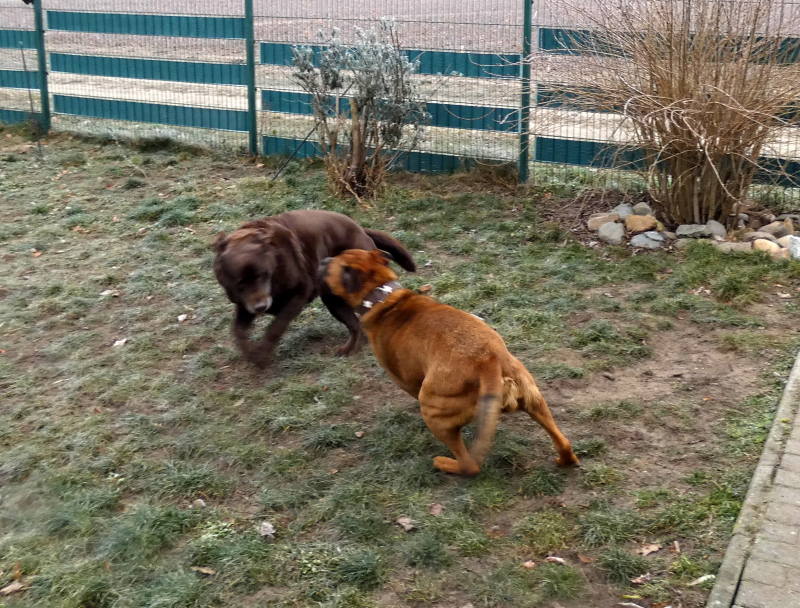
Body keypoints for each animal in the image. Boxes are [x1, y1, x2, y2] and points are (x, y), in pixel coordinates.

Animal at [213, 210, 416, 367]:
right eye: (240, 284)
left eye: (263, 275)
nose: (261, 307)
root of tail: (361, 230)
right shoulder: (245, 303)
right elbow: (238, 330)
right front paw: (251, 354)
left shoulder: (298, 295)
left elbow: (276, 327)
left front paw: (262, 355)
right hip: (333, 301)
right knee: (355, 325)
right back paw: (350, 348)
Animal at [319, 249, 579, 477]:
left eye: (333, 264)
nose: (323, 259)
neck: (383, 296)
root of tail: (489, 360)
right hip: (536, 401)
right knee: (564, 443)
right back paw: (564, 460)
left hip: (434, 412)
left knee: (469, 466)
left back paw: (445, 463)